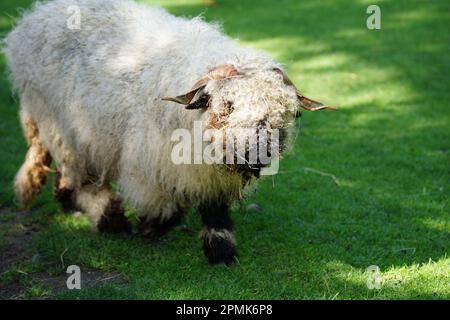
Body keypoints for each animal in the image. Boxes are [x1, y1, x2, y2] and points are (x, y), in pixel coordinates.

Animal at [3, 0, 334, 264]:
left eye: (287, 113)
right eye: (226, 105)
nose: (256, 154)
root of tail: (34, 16)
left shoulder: (207, 174)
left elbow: (213, 211)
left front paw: (221, 253)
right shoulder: (149, 163)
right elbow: (169, 207)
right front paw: (150, 228)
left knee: (66, 175)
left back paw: (71, 206)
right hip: (61, 125)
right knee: (82, 178)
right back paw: (110, 219)